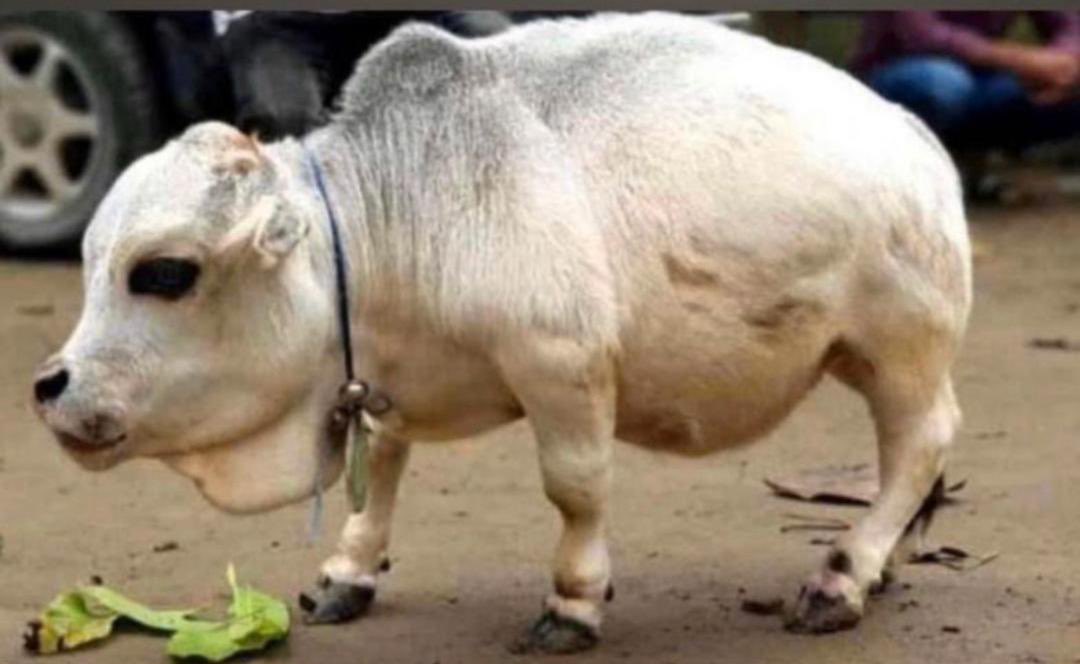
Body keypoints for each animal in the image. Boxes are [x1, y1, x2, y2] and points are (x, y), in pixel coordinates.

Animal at [32, 12, 971, 654]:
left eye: (164, 272)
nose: (51, 386)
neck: (387, 223)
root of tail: (912, 134)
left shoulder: (562, 366)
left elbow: (576, 490)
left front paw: (573, 602)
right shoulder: (386, 383)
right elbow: (384, 474)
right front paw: (349, 572)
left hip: (902, 345)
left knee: (921, 442)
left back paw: (845, 574)